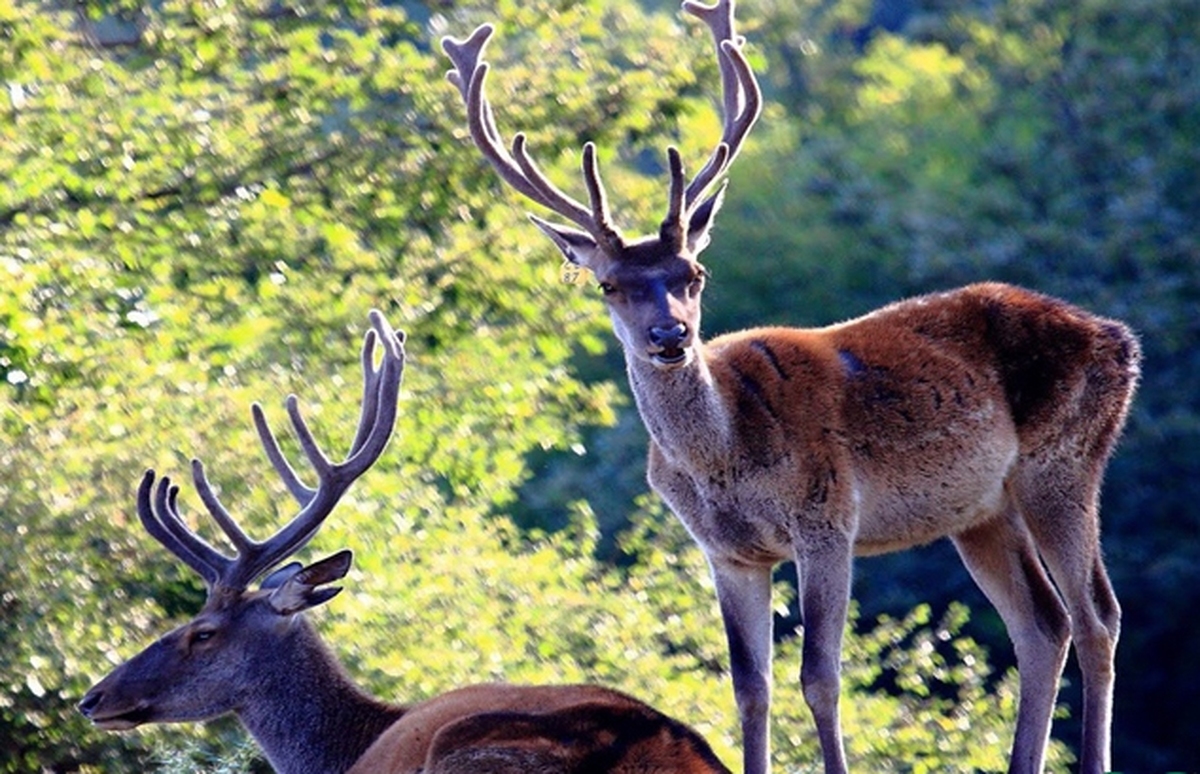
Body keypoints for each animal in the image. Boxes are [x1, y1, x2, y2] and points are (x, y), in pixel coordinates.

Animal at [444, 3, 1142, 768]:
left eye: (694, 273)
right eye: (609, 284)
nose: (670, 336)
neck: (722, 460)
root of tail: (1119, 339)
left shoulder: (827, 516)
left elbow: (820, 676)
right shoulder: (727, 552)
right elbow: (751, 688)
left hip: (1064, 459)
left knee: (1097, 615)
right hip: (981, 509)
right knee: (1042, 624)